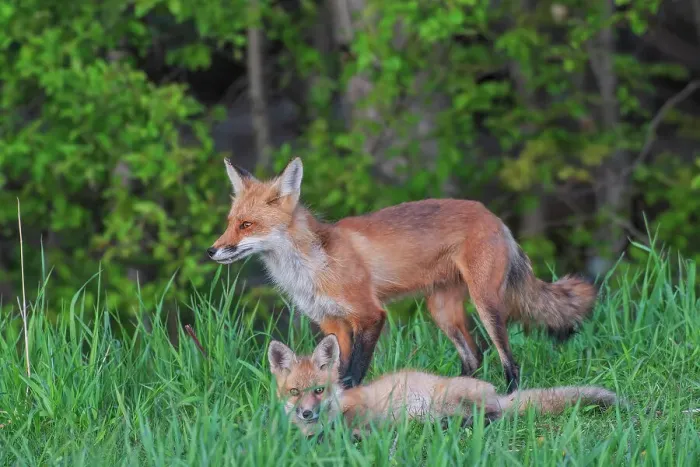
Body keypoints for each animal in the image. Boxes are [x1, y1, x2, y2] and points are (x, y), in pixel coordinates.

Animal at [208, 157, 598, 392]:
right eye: (229, 223)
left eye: (246, 225)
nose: (211, 251)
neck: (311, 266)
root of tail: (493, 216)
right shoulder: (334, 323)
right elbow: (336, 373)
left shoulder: (369, 315)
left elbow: (353, 373)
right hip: (441, 311)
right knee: (474, 357)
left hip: (486, 306)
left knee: (509, 361)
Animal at [267, 334, 621, 436]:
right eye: (295, 392)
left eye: (319, 390)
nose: (307, 414)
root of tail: (497, 392)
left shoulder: (364, 411)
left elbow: (352, 426)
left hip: (452, 398)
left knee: (493, 416)